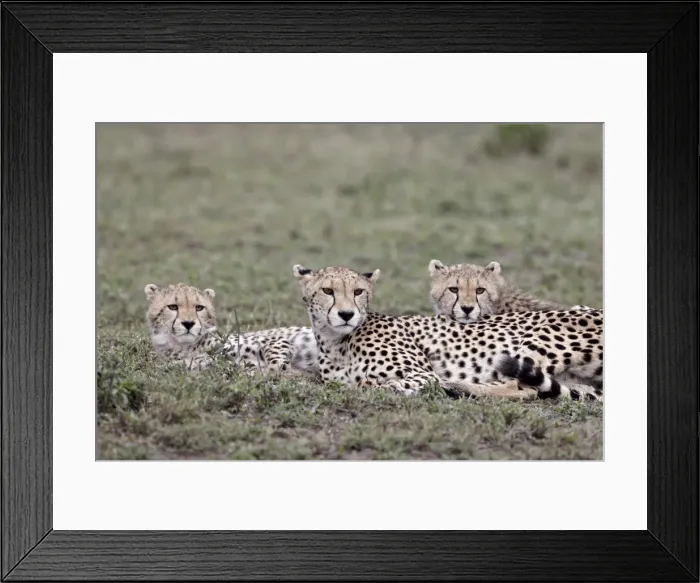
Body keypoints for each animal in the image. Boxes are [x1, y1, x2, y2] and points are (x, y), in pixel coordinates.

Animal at [292, 264, 603, 401]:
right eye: (327, 291)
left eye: (358, 292)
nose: (346, 314)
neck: (337, 343)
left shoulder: (422, 374)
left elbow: (374, 386)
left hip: (533, 341)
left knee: (522, 387)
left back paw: (455, 386)